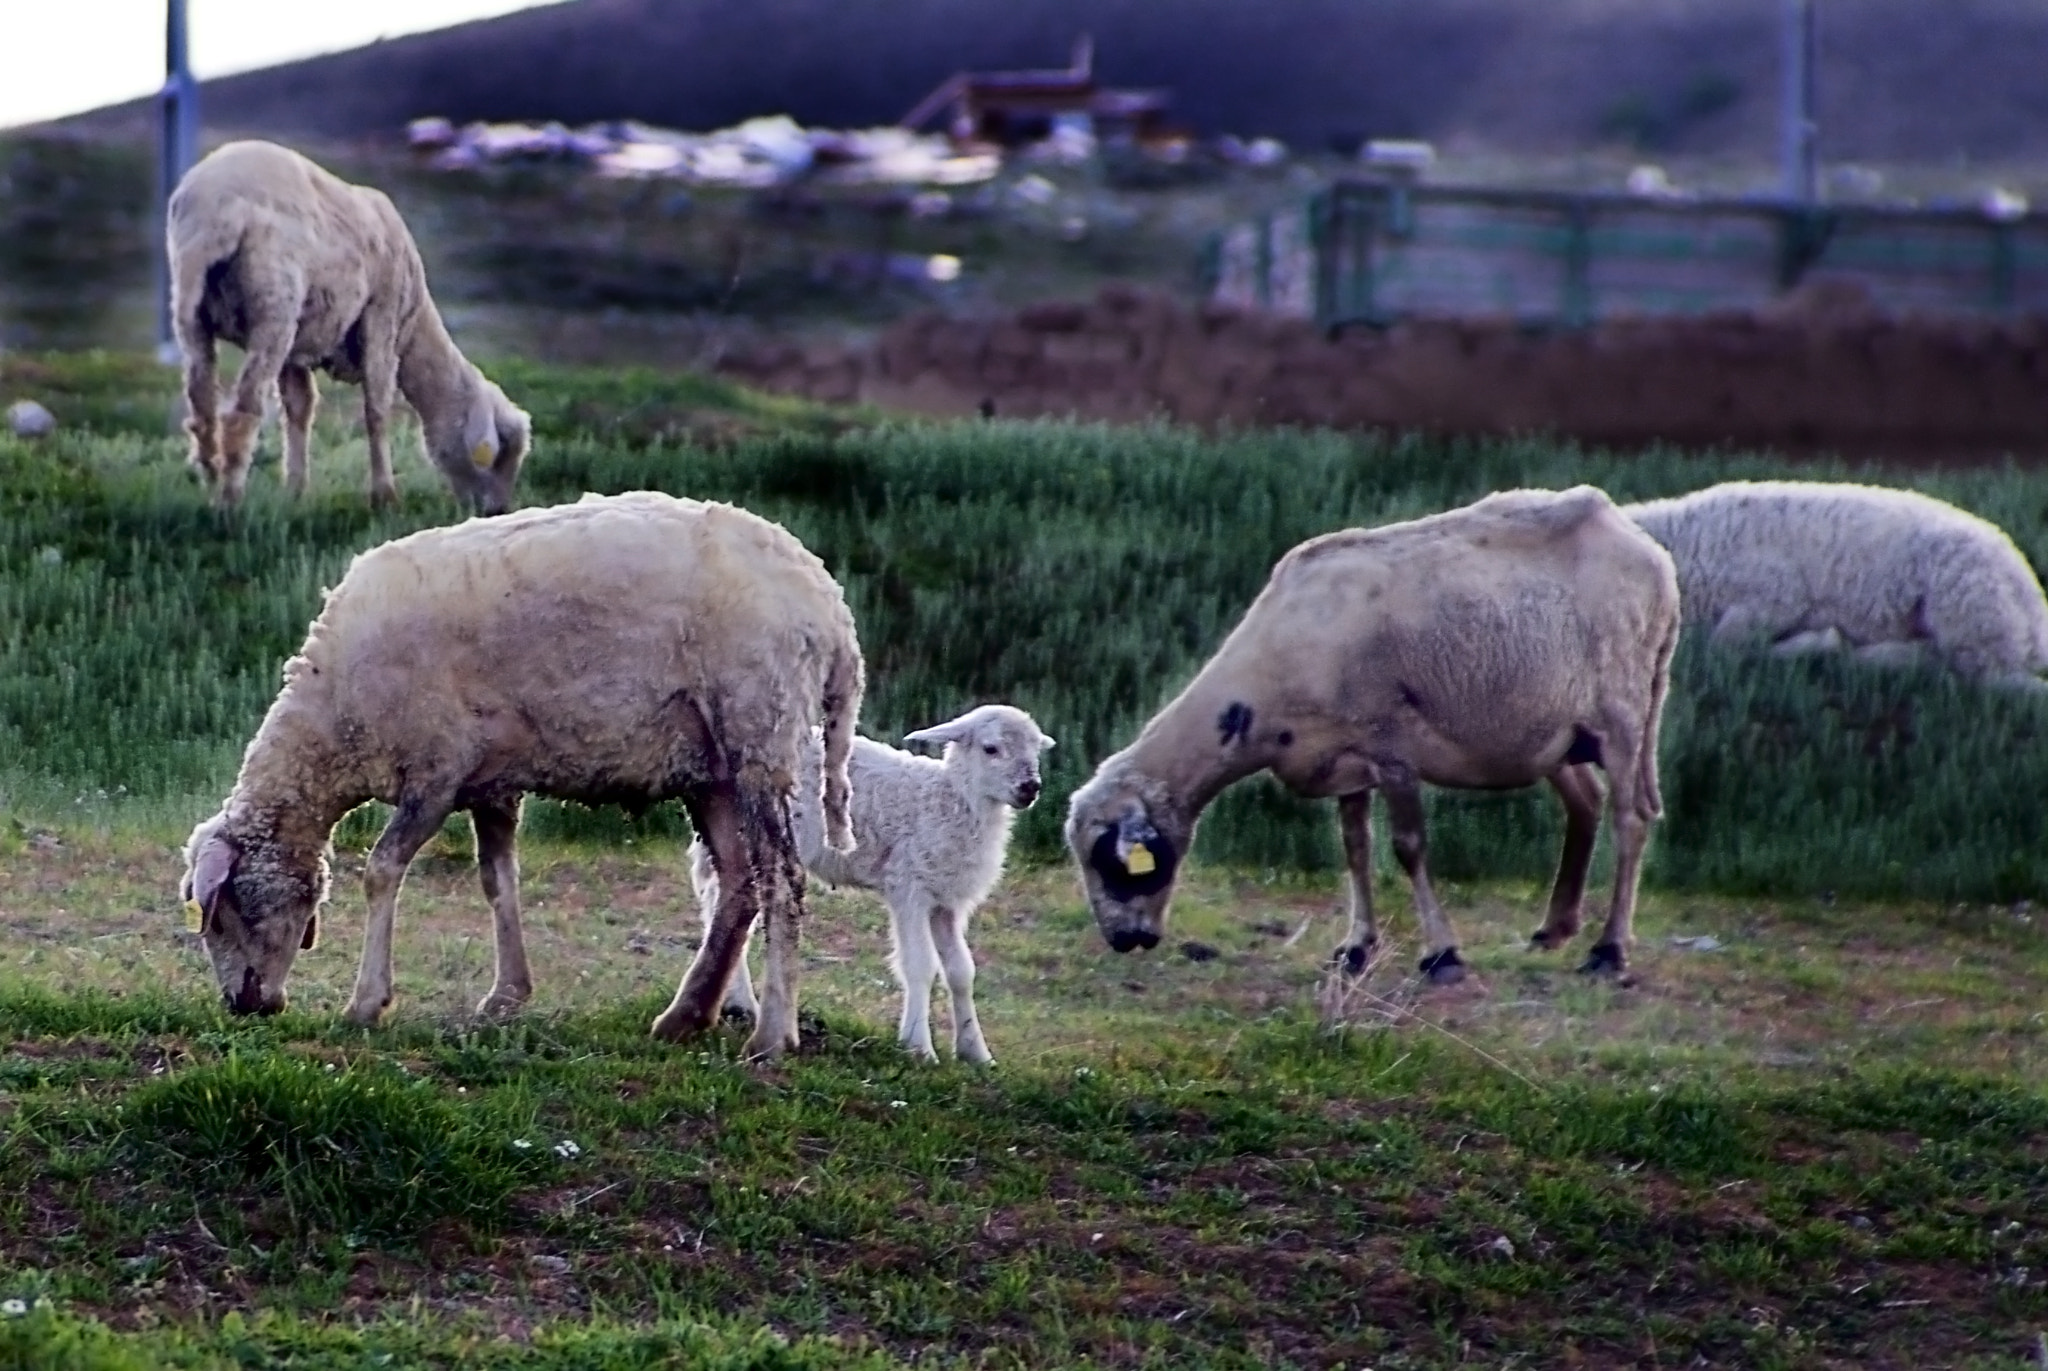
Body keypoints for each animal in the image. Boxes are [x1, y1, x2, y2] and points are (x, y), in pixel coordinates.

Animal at [167, 139, 532, 512]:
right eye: (501, 455)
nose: (497, 510)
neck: (414, 327)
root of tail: (214, 206)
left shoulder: (299, 343)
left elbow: (299, 408)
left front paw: (295, 492)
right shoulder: (382, 315)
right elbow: (377, 408)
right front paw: (384, 497)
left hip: (191, 305)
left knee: (202, 406)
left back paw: (212, 484)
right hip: (274, 305)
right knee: (243, 411)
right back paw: (230, 502)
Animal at [178, 491, 872, 1057]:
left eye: (226, 912)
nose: (243, 1007)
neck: (334, 722)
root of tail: (830, 608)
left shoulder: (437, 769)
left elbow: (382, 870)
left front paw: (366, 1003)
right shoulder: (489, 780)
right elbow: (498, 881)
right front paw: (507, 995)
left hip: (760, 732)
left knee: (781, 878)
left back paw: (772, 1034)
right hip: (714, 767)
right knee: (738, 882)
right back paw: (686, 1015)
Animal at [700, 700, 1064, 1065]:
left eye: (1036, 750)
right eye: (991, 748)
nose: (1030, 787)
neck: (952, 800)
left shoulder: (946, 901)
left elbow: (962, 971)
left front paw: (976, 1052)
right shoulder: (909, 886)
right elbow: (920, 965)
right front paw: (919, 1046)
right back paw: (739, 1000)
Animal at [1064, 485, 1671, 979]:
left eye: (1112, 862)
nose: (1124, 941)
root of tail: (1641, 543)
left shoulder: (1391, 743)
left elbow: (1408, 846)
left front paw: (1442, 955)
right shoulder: (1343, 756)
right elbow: (1355, 849)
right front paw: (1355, 947)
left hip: (1625, 709)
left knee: (1630, 818)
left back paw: (1608, 950)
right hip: (1555, 733)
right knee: (1586, 804)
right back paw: (1554, 930)